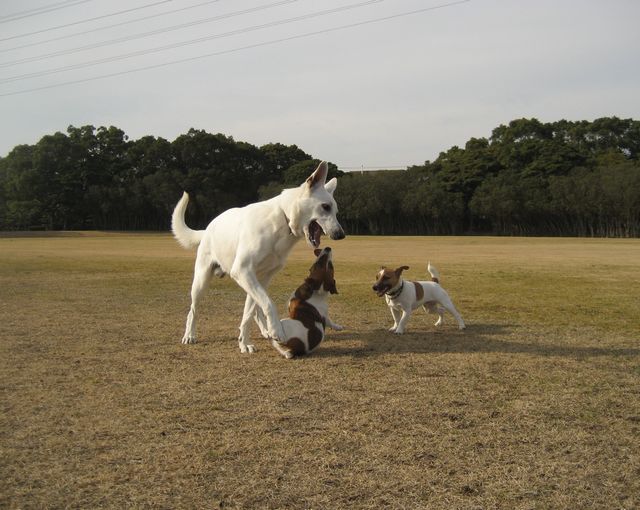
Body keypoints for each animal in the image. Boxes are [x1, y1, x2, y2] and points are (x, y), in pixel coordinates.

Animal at [171, 161, 344, 352]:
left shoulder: (261, 277)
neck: (283, 219)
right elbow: (268, 303)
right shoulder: (243, 270)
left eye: (335, 211)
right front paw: (276, 330)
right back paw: (189, 335)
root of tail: (207, 228)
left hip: (253, 282)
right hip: (201, 282)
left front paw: (244, 343)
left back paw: (263, 330)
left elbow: (249, 313)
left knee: (254, 310)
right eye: (325, 207)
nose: (341, 235)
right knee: (193, 310)